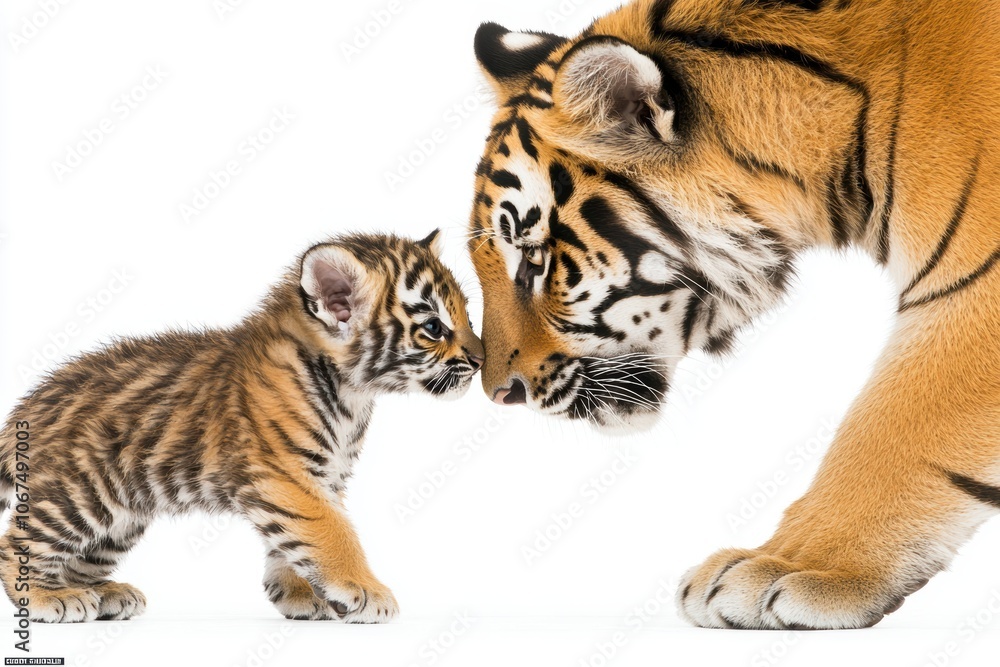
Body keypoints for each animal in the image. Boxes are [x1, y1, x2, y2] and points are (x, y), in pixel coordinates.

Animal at [0, 231, 483, 623]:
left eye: (468, 316)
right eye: (434, 327)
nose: (481, 361)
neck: (352, 393)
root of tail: (35, 400)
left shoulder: (321, 476)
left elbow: (294, 541)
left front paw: (301, 594)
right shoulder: (285, 474)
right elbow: (330, 532)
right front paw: (366, 591)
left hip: (121, 519)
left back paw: (104, 595)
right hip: (79, 495)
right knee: (18, 544)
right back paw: (49, 598)